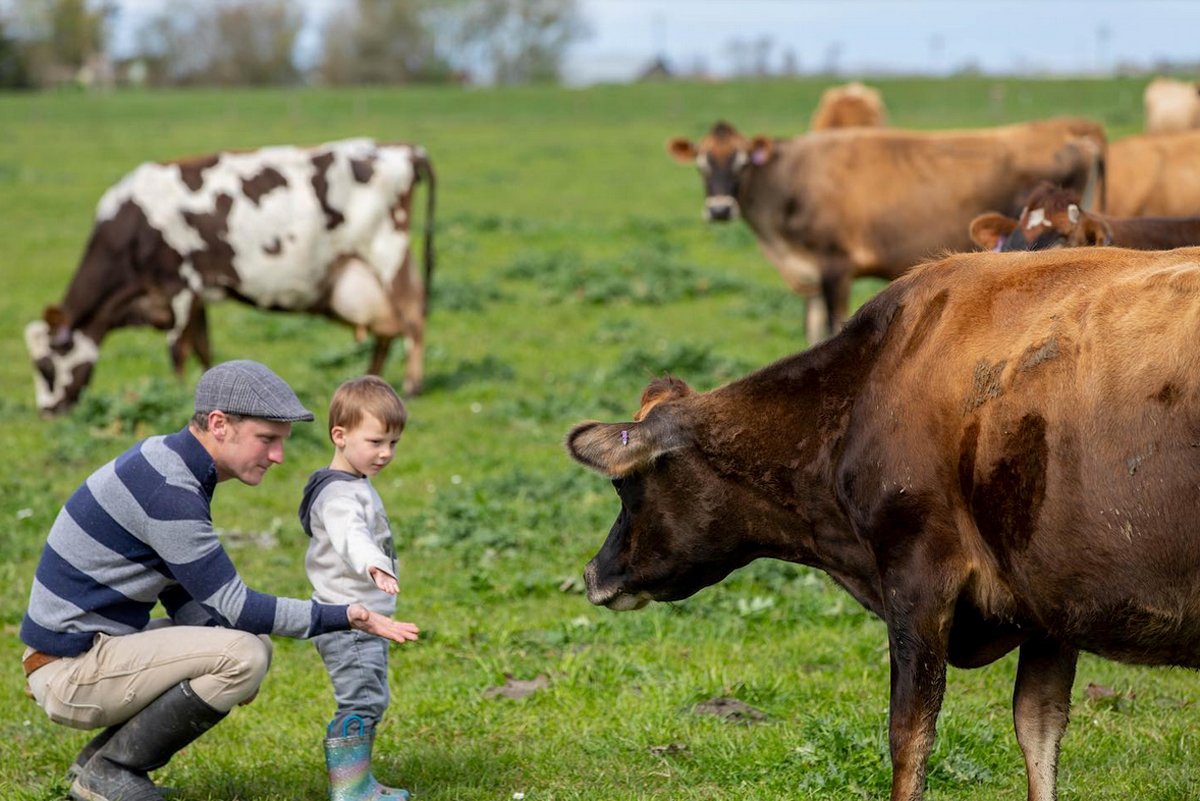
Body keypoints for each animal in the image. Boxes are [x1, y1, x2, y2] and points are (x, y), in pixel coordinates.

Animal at [25, 136, 436, 412]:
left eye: (45, 366)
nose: (47, 413)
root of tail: (399, 147)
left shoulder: (179, 286)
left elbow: (177, 350)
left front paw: (177, 394)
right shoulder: (197, 296)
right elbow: (203, 348)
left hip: (387, 253)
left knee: (412, 316)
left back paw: (412, 385)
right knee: (388, 327)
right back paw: (371, 381)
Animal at [564, 244, 1200, 801]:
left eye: (625, 484)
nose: (594, 574)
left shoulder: (918, 576)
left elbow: (909, 737)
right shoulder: (1051, 597)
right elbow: (1038, 728)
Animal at [667, 115, 1104, 345]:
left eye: (741, 162)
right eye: (702, 162)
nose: (720, 209)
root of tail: (1069, 126)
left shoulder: (835, 267)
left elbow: (833, 327)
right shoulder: (810, 273)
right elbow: (813, 331)